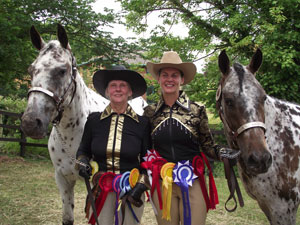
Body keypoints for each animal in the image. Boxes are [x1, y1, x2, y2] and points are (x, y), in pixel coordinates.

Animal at [21, 24, 145, 225]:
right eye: (31, 70)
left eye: (62, 70)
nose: (31, 123)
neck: (71, 135)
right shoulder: (63, 179)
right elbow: (68, 218)